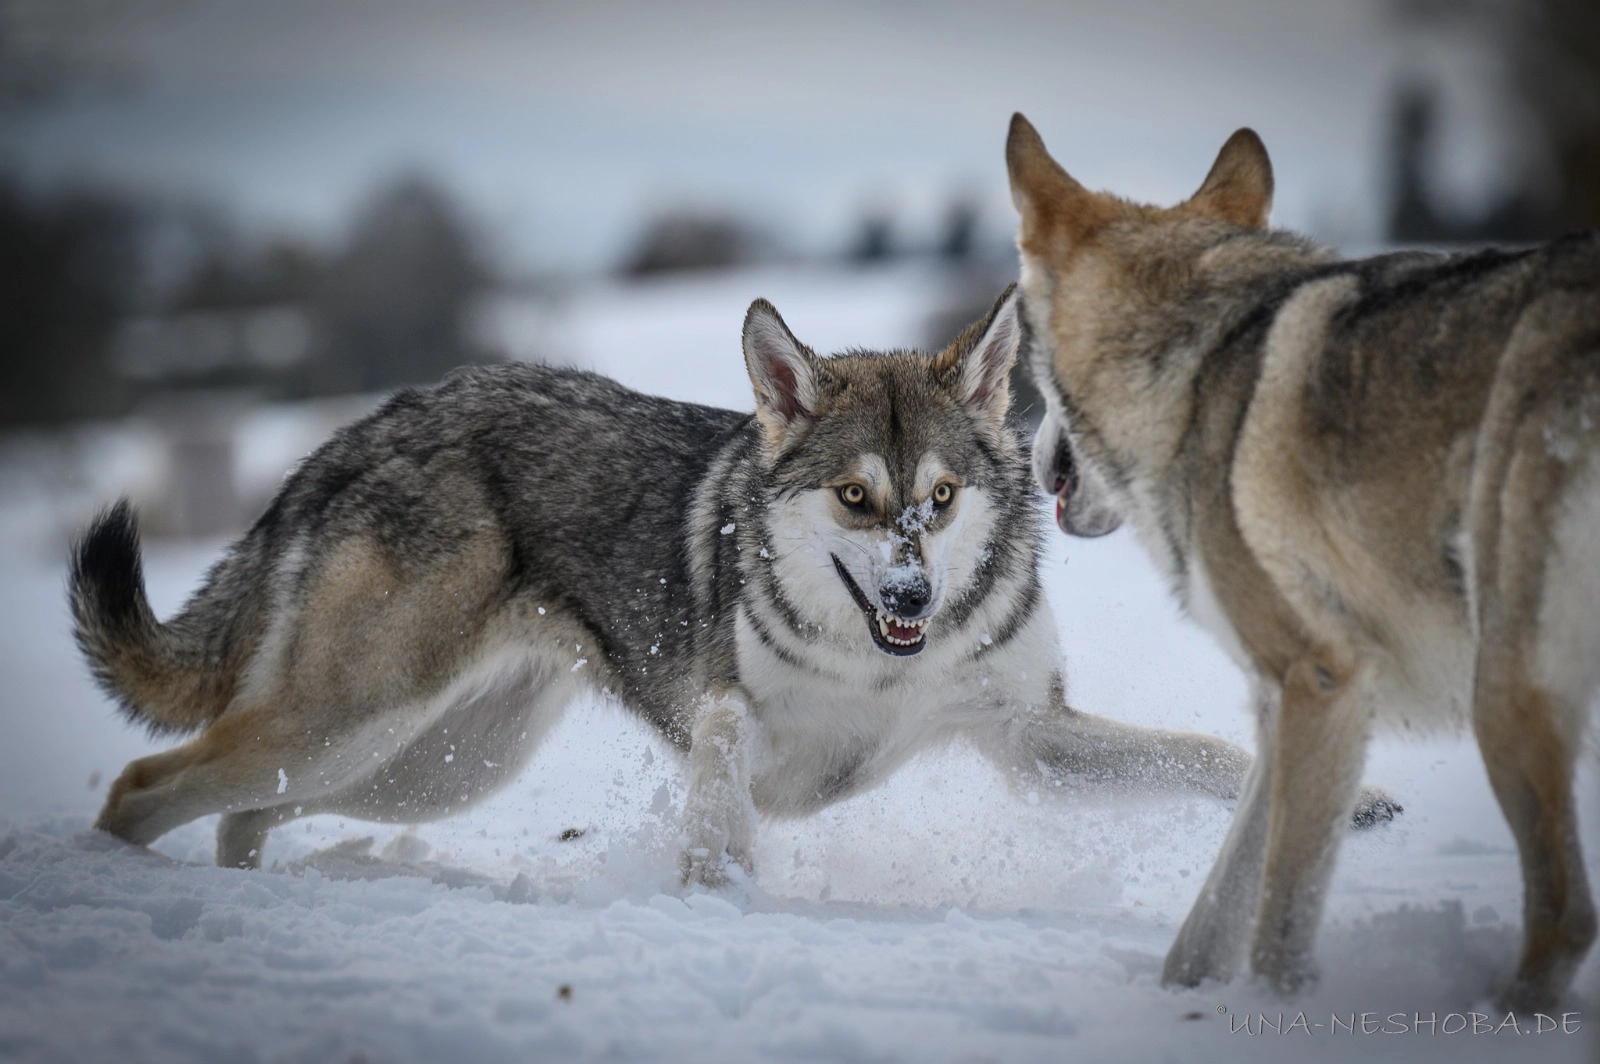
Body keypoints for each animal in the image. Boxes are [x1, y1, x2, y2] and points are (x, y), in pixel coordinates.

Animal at [71, 288, 1288, 887]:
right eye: (855, 497)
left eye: (940, 500)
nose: (908, 601)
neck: (879, 665)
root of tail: (364, 430)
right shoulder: (729, 716)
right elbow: (721, 787)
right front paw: (718, 884)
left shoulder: (1030, 738)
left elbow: (1211, 759)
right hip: (357, 726)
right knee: (139, 781)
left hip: (422, 765)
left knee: (241, 808)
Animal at [1006, 111, 1599, 1009]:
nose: (1037, 462)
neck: (1194, 367)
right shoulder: (1280, 700)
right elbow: (1208, 927)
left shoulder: (1320, 683)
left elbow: (1278, 922)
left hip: (1505, 696)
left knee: (1566, 915)